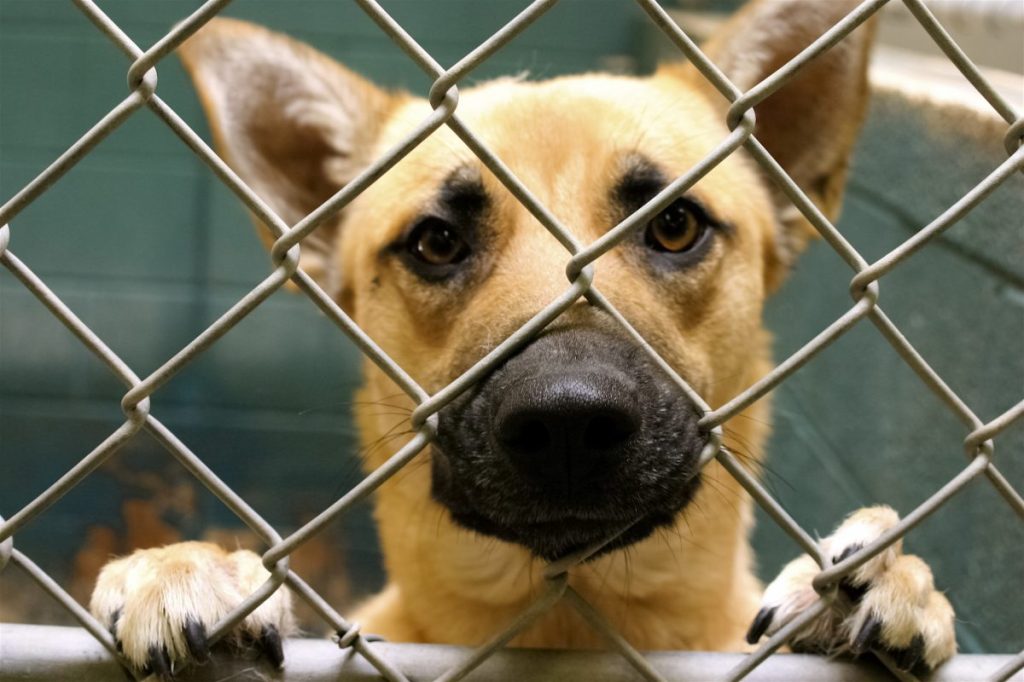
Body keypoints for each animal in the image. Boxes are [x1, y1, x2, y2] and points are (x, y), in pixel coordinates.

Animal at [90, 1, 958, 675]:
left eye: (675, 224)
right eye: (436, 241)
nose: (568, 419)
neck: (565, 628)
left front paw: (876, 580)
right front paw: (191, 568)